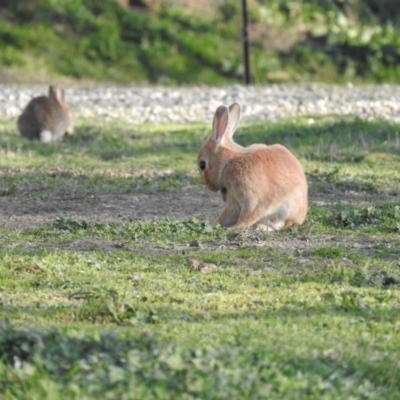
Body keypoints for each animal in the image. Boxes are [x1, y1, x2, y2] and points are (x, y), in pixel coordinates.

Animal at [198, 101, 308, 230]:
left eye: (202, 165)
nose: (210, 186)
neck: (229, 163)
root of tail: (301, 216)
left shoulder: (251, 199)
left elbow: (249, 215)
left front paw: (234, 228)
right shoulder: (233, 200)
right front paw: (216, 225)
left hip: (285, 209)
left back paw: (261, 227)